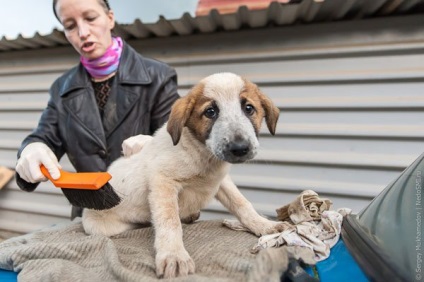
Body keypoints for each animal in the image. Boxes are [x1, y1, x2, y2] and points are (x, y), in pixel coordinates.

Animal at [82, 72, 288, 278]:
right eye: (210, 112)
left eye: (249, 108)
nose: (239, 148)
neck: (203, 155)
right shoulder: (163, 182)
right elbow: (169, 221)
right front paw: (173, 255)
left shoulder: (222, 181)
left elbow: (241, 204)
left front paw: (263, 225)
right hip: (102, 227)